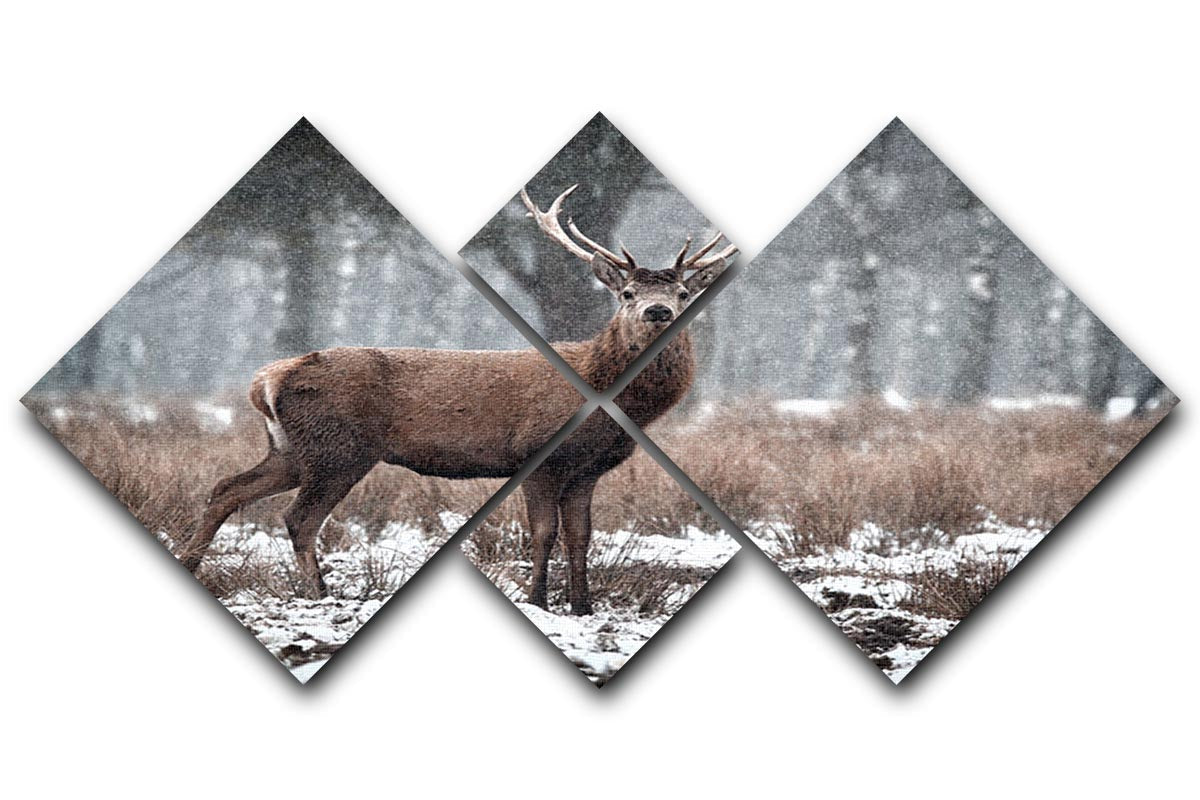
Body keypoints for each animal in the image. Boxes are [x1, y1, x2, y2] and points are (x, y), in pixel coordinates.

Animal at [178, 184, 735, 613]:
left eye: (684, 294)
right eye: (626, 294)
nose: (659, 312)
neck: (605, 393)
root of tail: (266, 380)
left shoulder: (587, 470)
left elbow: (581, 538)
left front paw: (583, 606)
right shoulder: (539, 455)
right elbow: (542, 534)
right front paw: (538, 600)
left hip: (293, 449)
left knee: (226, 488)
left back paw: (193, 564)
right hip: (338, 448)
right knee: (298, 518)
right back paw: (320, 595)